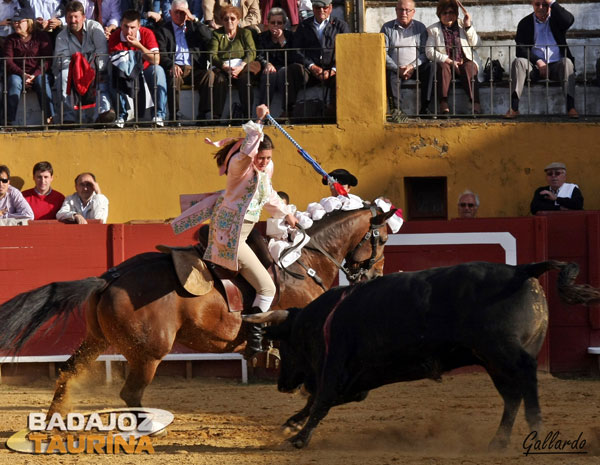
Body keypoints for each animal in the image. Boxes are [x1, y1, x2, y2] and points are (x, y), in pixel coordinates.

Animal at [0, 206, 396, 414]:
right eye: (381, 238)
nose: (375, 276)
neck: (305, 262)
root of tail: (109, 278)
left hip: (97, 340)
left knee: (67, 371)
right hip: (149, 353)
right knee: (131, 394)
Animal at [243, 260, 600, 448]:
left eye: (286, 345)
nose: (281, 385)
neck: (320, 320)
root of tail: (522, 270)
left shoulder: (334, 370)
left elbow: (319, 402)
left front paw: (299, 439)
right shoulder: (355, 384)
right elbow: (317, 401)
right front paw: (289, 425)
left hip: (502, 351)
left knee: (526, 375)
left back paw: (536, 424)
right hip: (493, 361)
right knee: (513, 394)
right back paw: (498, 441)